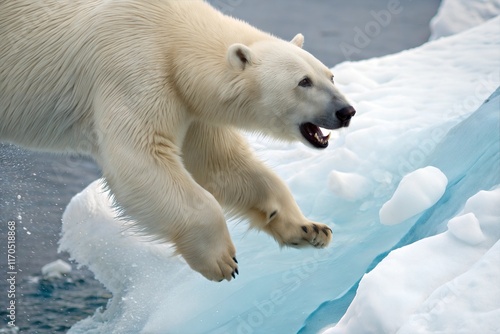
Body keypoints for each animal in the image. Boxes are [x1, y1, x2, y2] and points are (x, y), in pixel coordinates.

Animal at [1, 0, 358, 282]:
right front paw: (221, 260)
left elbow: (221, 165)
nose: (346, 111)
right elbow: (139, 158)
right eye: (303, 82)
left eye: (329, 75)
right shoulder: (134, 69)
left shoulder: (190, 104)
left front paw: (309, 229)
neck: (174, 37)